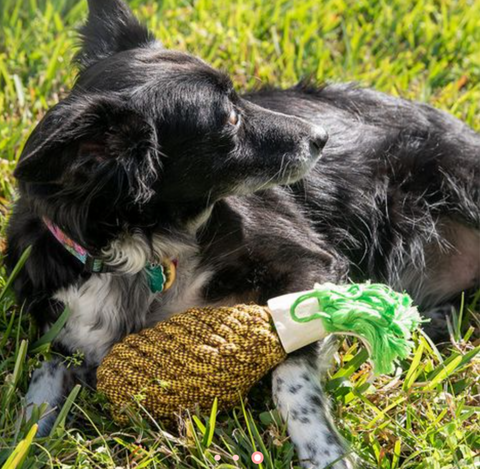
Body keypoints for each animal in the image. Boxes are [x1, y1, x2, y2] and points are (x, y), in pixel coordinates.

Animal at [5, 1, 478, 466]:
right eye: (231, 118)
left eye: (241, 99)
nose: (322, 136)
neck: (148, 254)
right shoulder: (79, 338)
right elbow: (45, 370)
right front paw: (23, 436)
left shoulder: (311, 262)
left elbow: (290, 370)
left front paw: (322, 449)